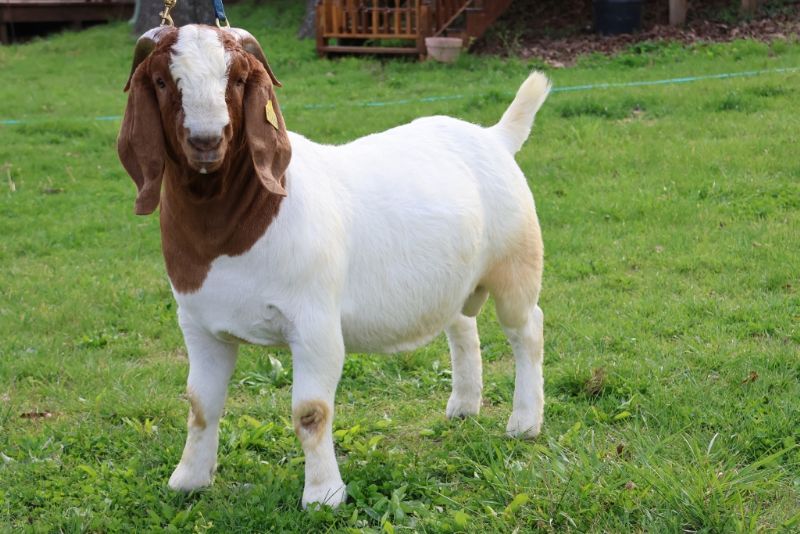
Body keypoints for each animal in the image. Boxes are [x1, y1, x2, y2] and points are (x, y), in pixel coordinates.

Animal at [118, 24, 550, 509]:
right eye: (161, 81)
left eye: (238, 79)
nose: (206, 140)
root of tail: (495, 138)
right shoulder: (199, 324)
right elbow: (199, 405)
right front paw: (188, 479)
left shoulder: (315, 325)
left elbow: (311, 412)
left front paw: (323, 495)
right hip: (454, 278)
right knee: (461, 326)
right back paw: (463, 406)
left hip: (516, 263)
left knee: (527, 329)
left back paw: (524, 423)